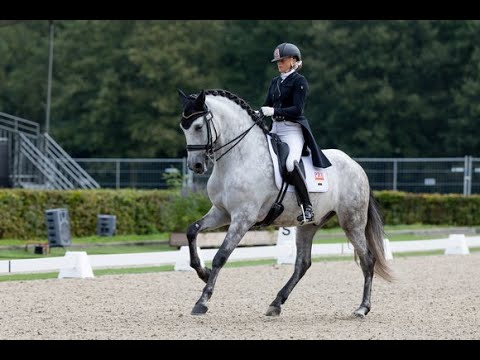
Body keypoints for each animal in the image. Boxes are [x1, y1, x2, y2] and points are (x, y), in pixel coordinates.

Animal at [178, 88, 392, 316]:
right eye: (183, 127)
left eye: (198, 126)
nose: (196, 166)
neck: (239, 158)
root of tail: (355, 165)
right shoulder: (221, 213)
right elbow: (192, 231)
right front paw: (203, 272)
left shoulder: (243, 217)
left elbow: (221, 255)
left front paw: (202, 301)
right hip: (309, 225)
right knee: (303, 264)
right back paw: (276, 303)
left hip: (352, 221)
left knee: (367, 259)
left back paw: (362, 308)